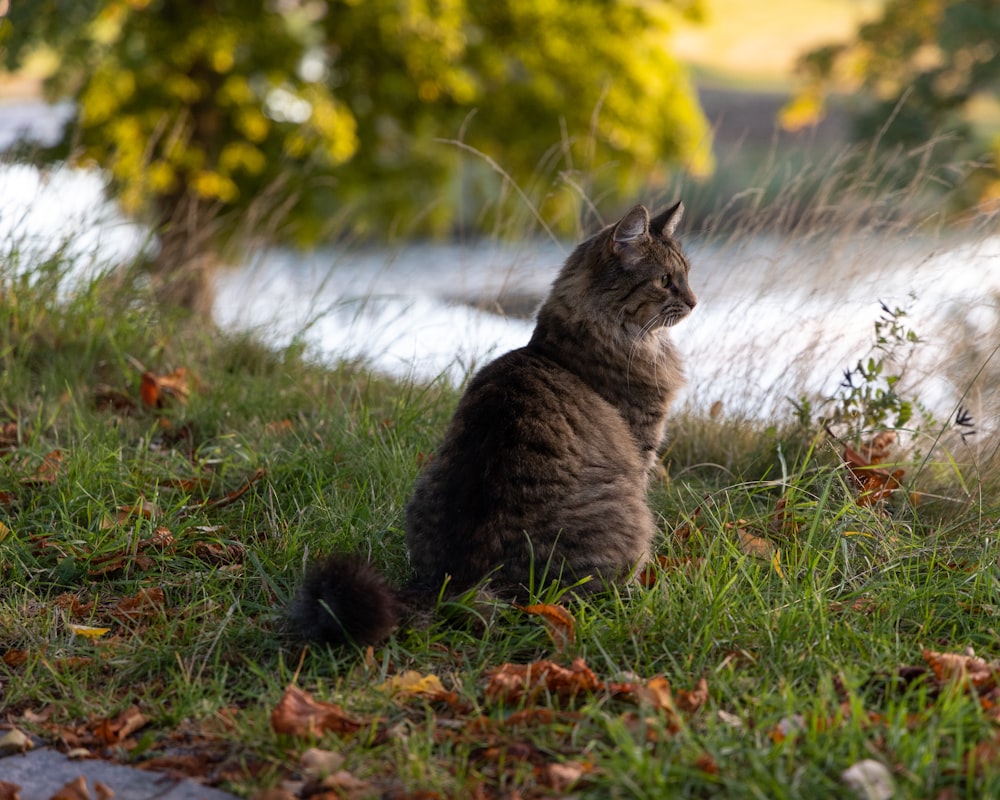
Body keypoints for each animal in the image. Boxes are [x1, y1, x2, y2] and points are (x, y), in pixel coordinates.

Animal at [290, 203, 696, 648]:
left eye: (687, 274)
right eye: (665, 281)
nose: (695, 302)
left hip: (425, 482)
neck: (563, 345)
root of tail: (461, 581)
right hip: (628, 518)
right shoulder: (642, 447)